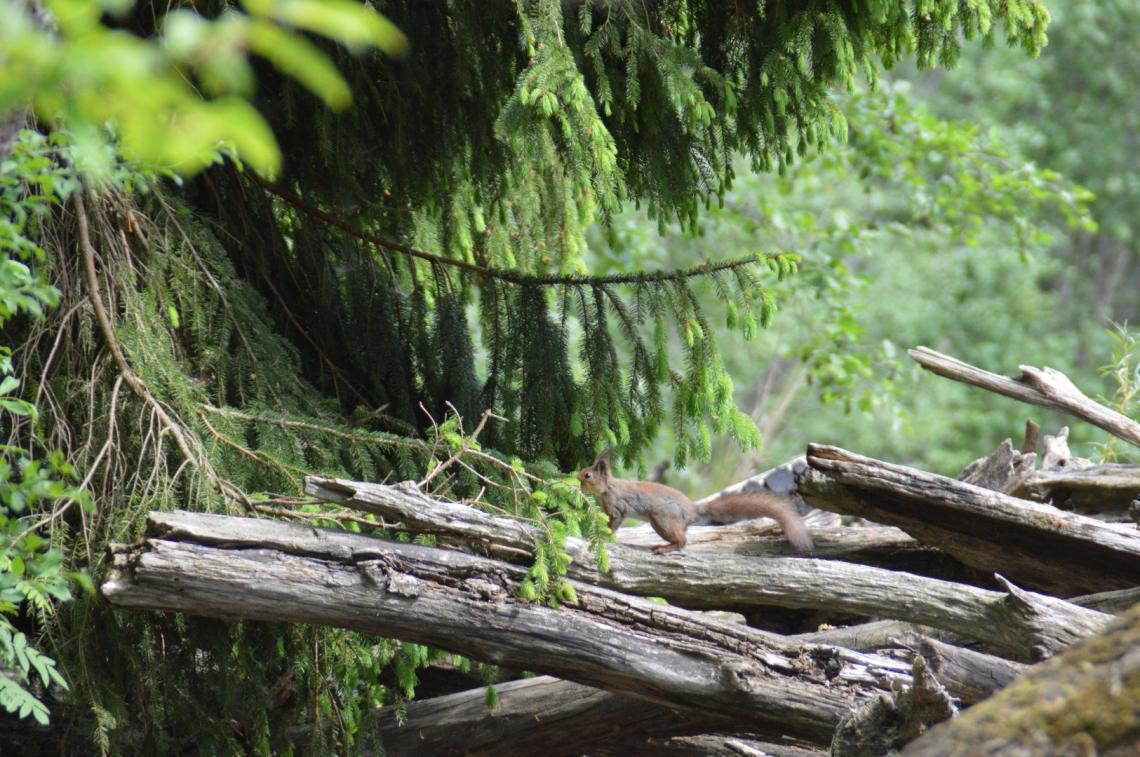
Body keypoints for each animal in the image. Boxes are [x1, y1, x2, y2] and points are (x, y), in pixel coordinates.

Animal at [577, 447, 813, 555]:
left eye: (587, 475)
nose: (577, 482)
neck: (608, 487)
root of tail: (692, 510)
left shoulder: (617, 506)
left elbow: (614, 523)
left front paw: (605, 536)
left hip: (661, 517)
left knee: (682, 541)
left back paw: (664, 548)